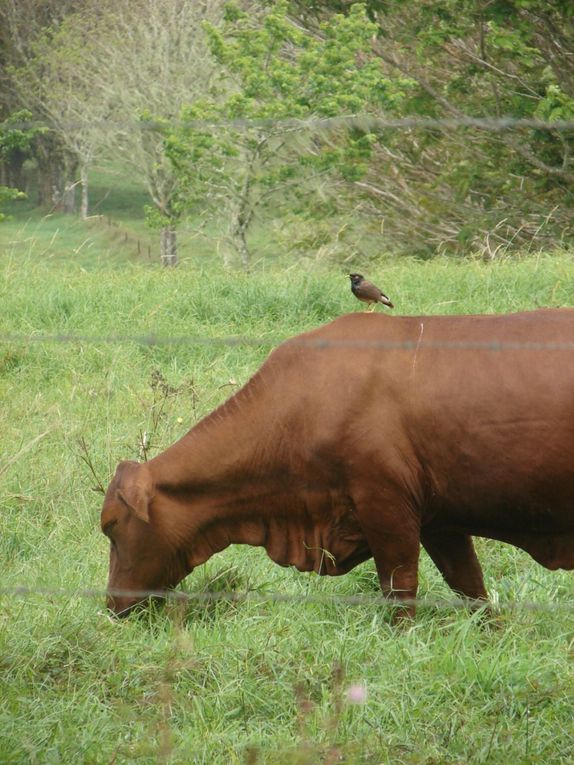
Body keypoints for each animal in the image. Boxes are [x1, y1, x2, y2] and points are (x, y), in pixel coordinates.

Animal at [101, 308, 574, 616]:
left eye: (110, 526)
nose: (110, 603)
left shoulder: (384, 504)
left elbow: (400, 588)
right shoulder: (440, 519)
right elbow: (470, 587)